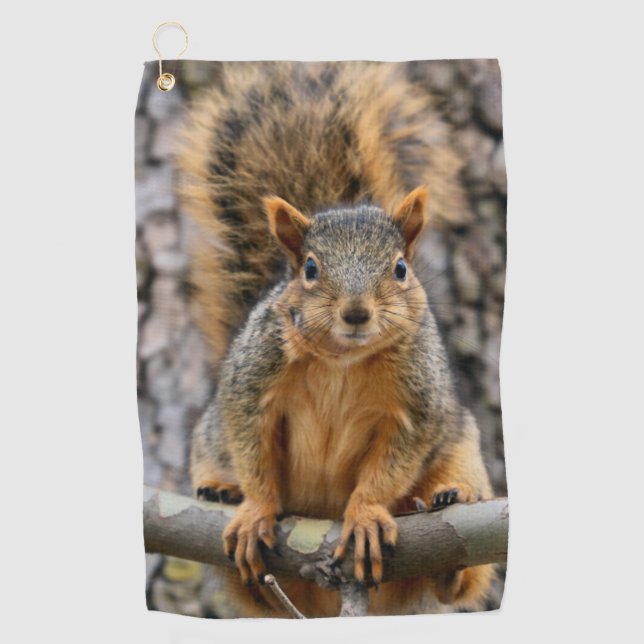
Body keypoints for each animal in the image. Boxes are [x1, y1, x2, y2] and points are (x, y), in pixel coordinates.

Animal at [177, 62, 494, 617]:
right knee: (253, 590)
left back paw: (446, 512)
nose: (356, 312)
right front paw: (256, 507)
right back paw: (221, 493)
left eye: (400, 268)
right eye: (309, 269)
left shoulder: (417, 404)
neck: (342, 359)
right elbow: (251, 445)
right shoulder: (252, 380)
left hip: (462, 453)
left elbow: (392, 463)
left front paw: (365, 514)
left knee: (456, 579)